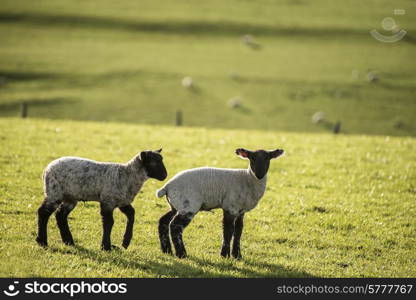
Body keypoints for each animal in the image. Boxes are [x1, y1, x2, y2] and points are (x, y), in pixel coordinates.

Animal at [36, 150, 167, 251]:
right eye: (153, 162)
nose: (165, 175)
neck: (127, 175)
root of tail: (46, 169)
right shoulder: (107, 201)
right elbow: (109, 223)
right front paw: (106, 247)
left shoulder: (122, 201)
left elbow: (131, 214)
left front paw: (125, 242)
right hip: (54, 192)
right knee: (43, 213)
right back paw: (42, 241)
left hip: (70, 197)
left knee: (60, 215)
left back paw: (68, 241)